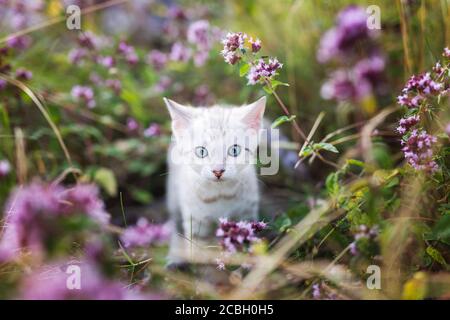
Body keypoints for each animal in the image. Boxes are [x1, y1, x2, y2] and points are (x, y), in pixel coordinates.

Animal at [163, 96, 266, 266]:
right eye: (201, 152)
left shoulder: (247, 212)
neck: (220, 194)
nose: (218, 171)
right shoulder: (195, 220)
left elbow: (246, 237)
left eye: (234, 150)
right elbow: (199, 250)